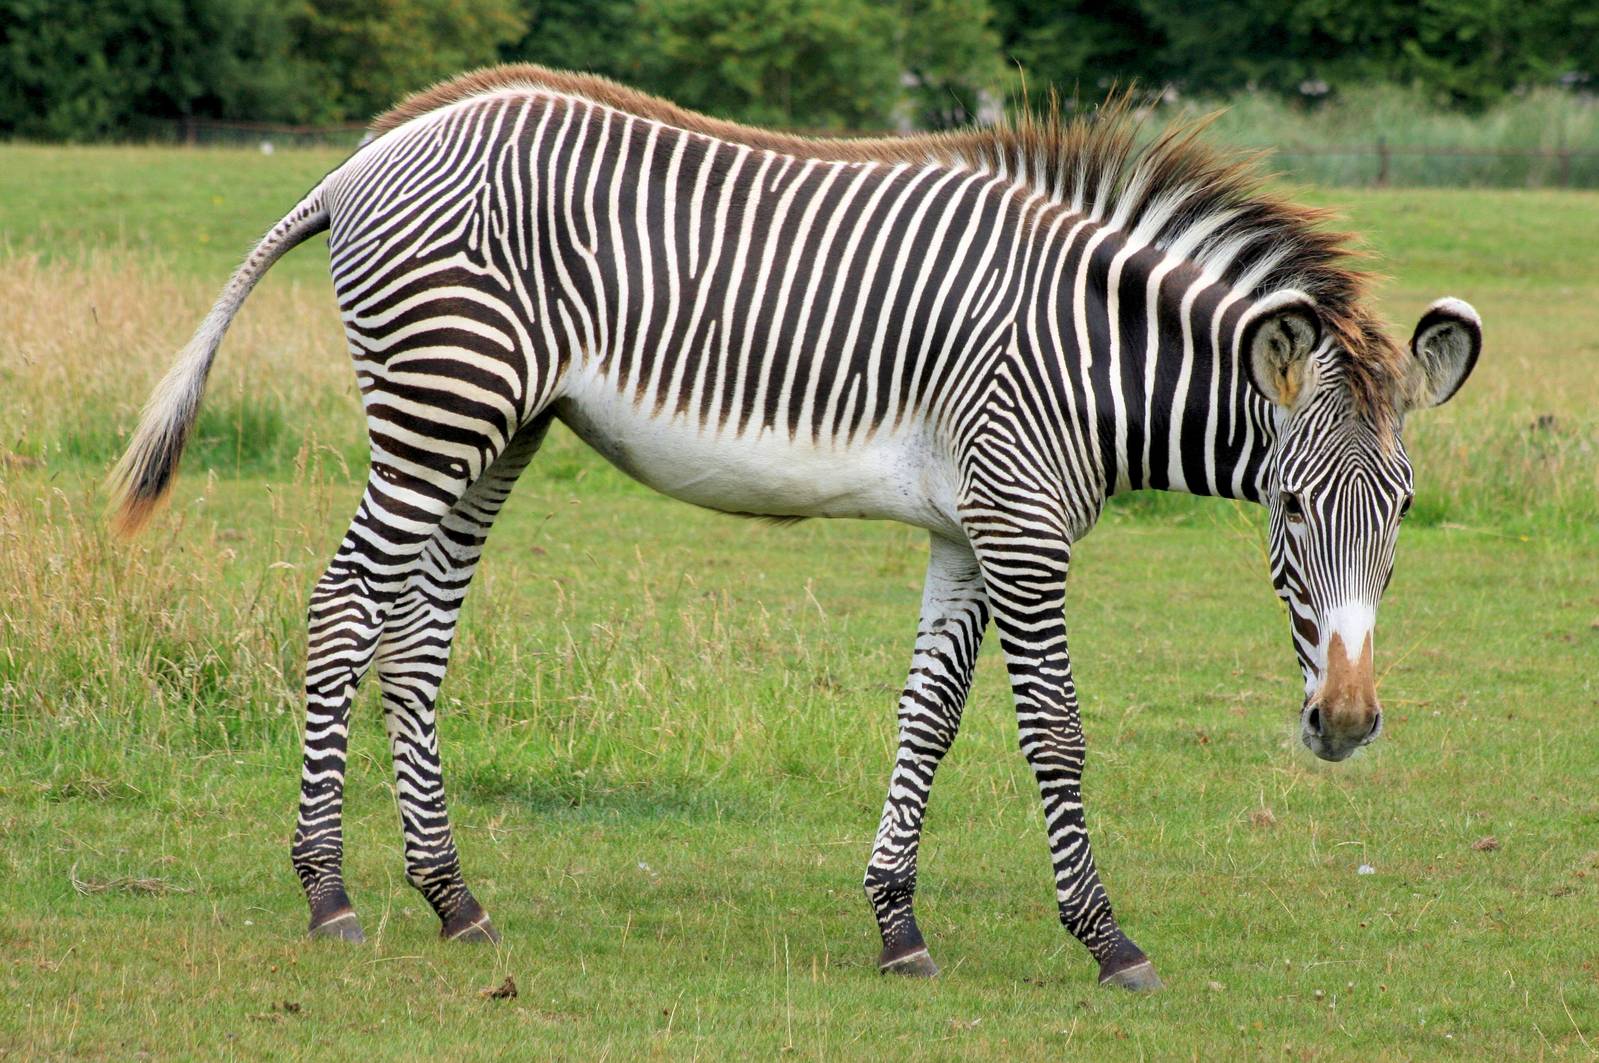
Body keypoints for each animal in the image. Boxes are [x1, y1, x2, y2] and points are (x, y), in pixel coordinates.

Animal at [110, 67, 1482, 990]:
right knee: (346, 609)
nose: (1346, 724)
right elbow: (1056, 735)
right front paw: (1106, 940)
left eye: (1405, 510)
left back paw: (451, 896)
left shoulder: (967, 530)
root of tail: (369, 154)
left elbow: (928, 718)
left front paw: (896, 922)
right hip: (442, 407)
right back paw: (328, 893)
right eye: (1291, 506)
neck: (1091, 358)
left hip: (500, 428)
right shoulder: (1023, 522)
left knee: (419, 631)